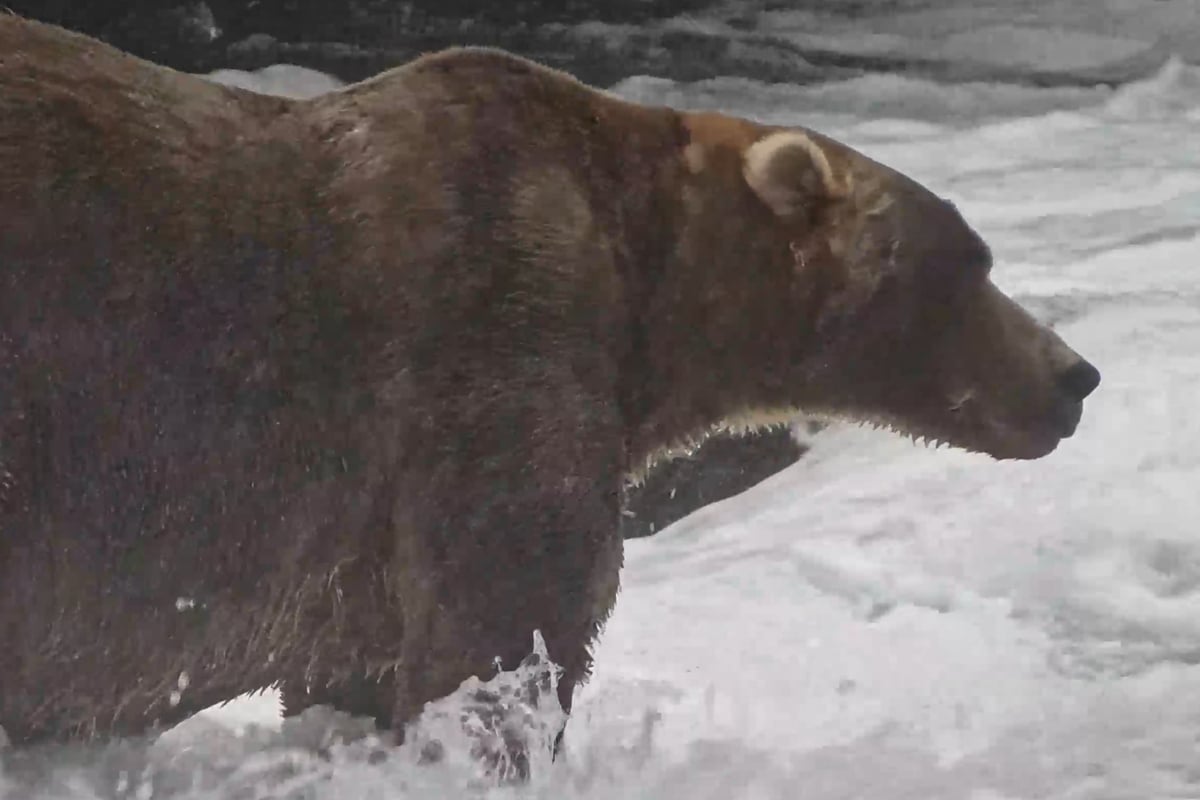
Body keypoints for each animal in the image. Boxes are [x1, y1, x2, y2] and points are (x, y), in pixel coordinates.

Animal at [0, 14, 1100, 761]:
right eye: (968, 261)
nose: (1074, 375)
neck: (651, 293)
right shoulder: (493, 338)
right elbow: (506, 623)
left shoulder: (354, 546)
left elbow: (356, 667)